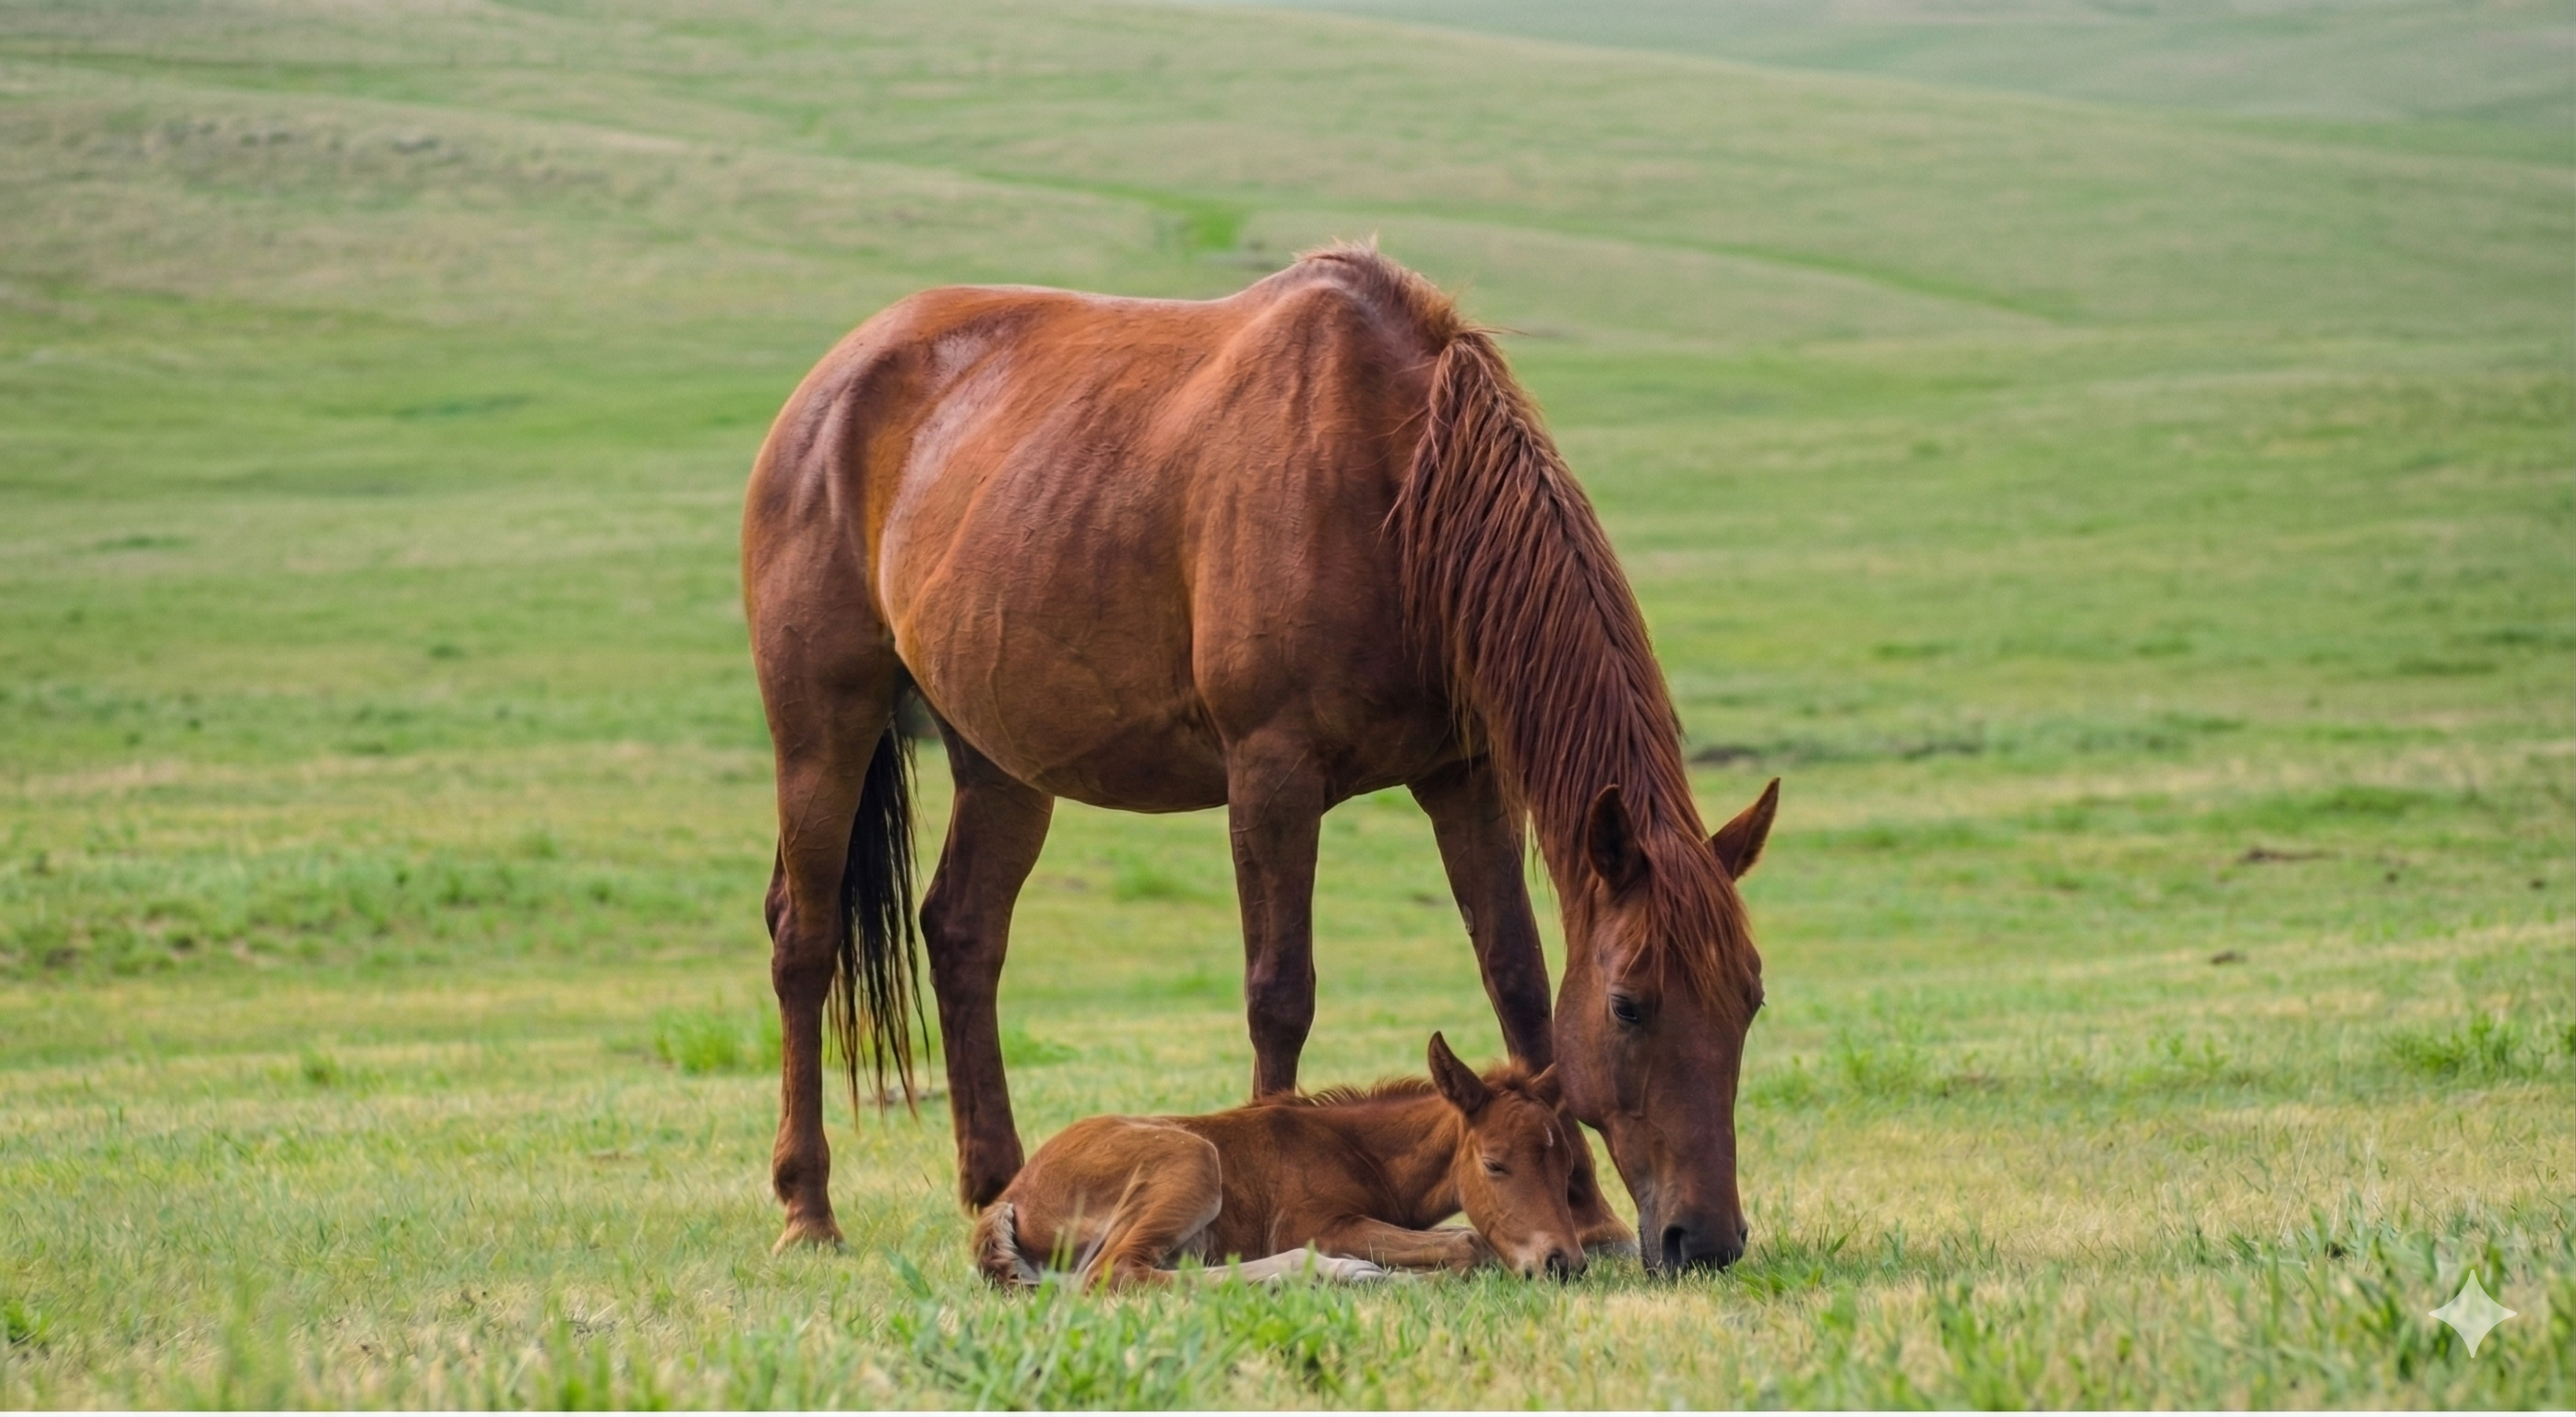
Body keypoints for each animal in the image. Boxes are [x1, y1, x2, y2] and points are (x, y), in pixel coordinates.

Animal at [974, 1033, 1585, 1289]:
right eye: (1495, 1164)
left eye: (1568, 1170)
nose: (1566, 1264)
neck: (1361, 1151)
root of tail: (1011, 1197)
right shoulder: (1317, 1223)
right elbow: (1468, 1242)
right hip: (1192, 1160)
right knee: (1115, 1274)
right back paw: (1341, 1273)